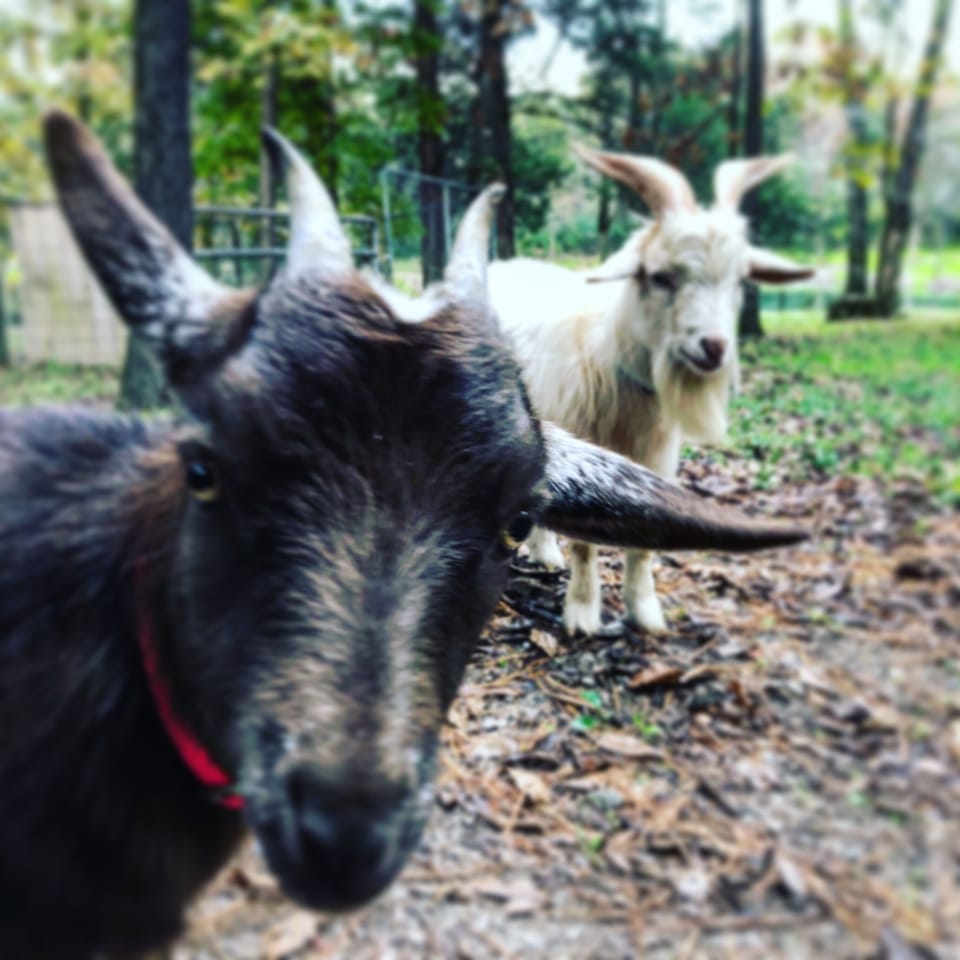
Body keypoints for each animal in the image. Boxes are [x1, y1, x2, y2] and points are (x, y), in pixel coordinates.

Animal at [489, 147, 814, 636]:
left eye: (740, 282)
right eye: (661, 276)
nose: (714, 347)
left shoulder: (656, 458)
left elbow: (643, 540)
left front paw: (645, 613)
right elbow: (586, 543)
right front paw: (583, 614)